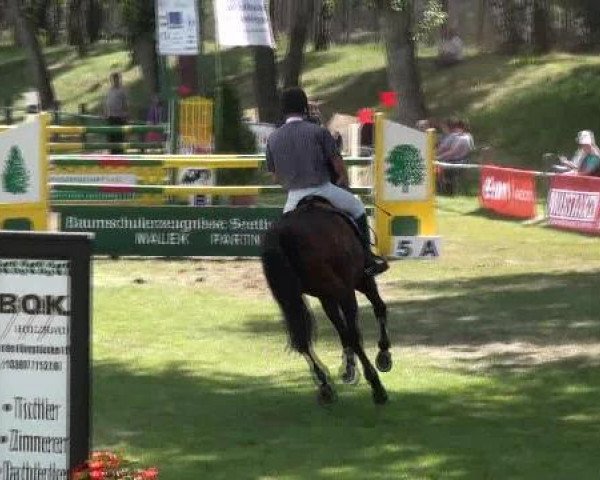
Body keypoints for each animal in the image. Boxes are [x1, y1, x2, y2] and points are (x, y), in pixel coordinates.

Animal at [260, 197, 392, 404]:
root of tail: (281, 234)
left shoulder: (326, 297)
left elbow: (341, 330)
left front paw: (348, 368)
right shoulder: (361, 281)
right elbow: (378, 308)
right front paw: (383, 354)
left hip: (296, 299)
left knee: (303, 341)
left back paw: (325, 386)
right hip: (346, 291)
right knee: (354, 334)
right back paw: (376, 387)